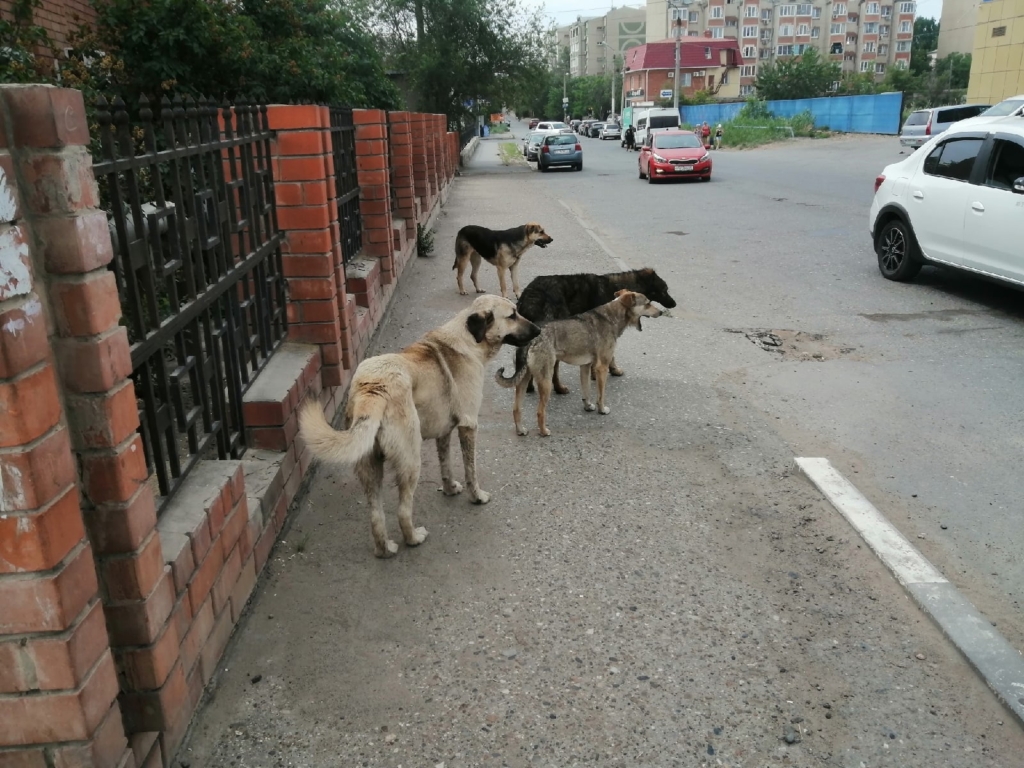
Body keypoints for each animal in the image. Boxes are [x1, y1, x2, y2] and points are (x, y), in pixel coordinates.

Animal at [296, 296, 540, 561]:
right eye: (512, 315)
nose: (539, 330)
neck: (469, 338)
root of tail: (373, 388)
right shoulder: (468, 425)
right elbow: (470, 470)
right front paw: (477, 497)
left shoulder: (444, 432)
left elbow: (446, 466)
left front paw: (449, 489)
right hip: (411, 460)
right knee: (403, 510)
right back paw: (414, 538)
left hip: (369, 466)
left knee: (376, 515)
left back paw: (385, 550)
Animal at [495, 292, 663, 438]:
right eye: (648, 303)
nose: (661, 312)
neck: (611, 317)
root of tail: (532, 339)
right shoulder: (602, 367)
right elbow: (601, 395)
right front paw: (602, 410)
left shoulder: (585, 366)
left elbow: (586, 391)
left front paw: (588, 406)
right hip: (546, 381)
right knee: (540, 411)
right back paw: (543, 432)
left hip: (523, 381)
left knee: (516, 409)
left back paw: (520, 430)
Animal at [516, 268, 675, 393]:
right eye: (664, 290)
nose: (674, 304)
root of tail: (531, 296)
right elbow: (609, 356)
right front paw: (610, 370)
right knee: (554, 367)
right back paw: (558, 388)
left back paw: (529, 386)